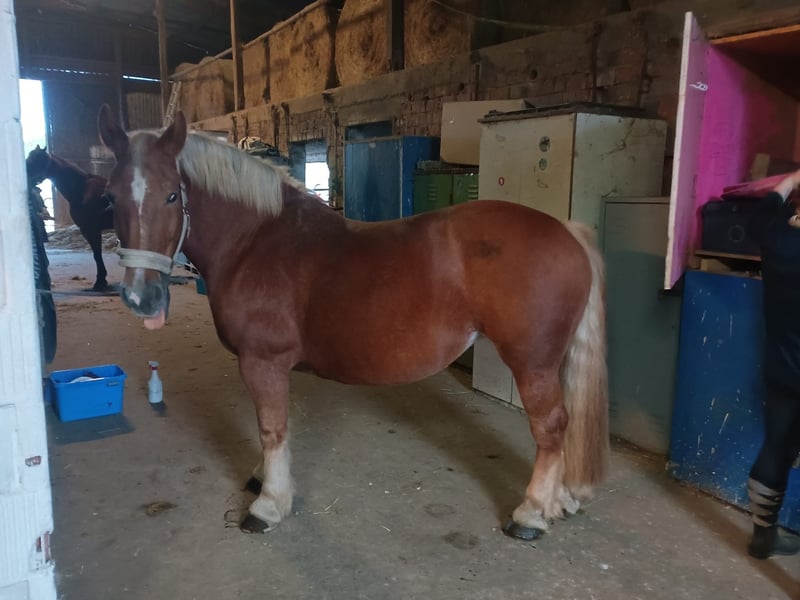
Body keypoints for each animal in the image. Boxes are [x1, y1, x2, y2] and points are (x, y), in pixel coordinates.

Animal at [26, 146, 114, 291]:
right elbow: (97, 254)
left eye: (36, 159)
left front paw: (100, 281)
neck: (81, 189)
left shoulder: (90, 229)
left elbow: (97, 255)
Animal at [97, 104, 609, 540]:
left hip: (532, 362)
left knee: (551, 428)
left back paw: (531, 514)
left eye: (171, 194)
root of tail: (566, 230)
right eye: (111, 196)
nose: (141, 296)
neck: (255, 240)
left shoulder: (262, 362)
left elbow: (271, 428)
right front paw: (264, 479)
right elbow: (274, 428)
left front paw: (269, 504)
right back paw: (558, 502)